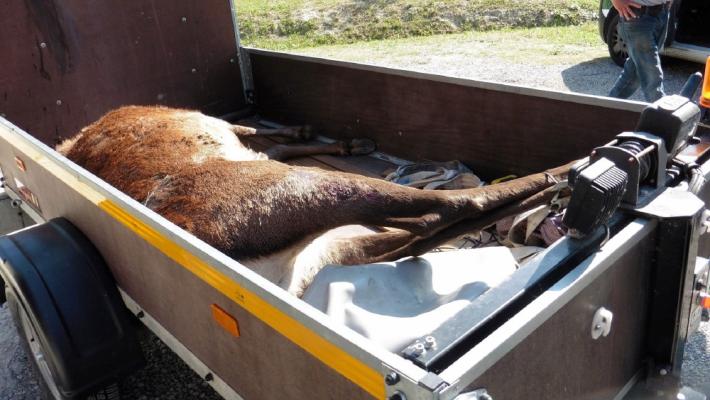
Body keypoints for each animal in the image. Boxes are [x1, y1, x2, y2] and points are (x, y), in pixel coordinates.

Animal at [57, 105, 573, 297]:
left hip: (324, 241)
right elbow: (257, 131)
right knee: (451, 206)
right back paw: (559, 175)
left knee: (413, 234)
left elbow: (266, 136)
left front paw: (340, 139)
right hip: (303, 189)